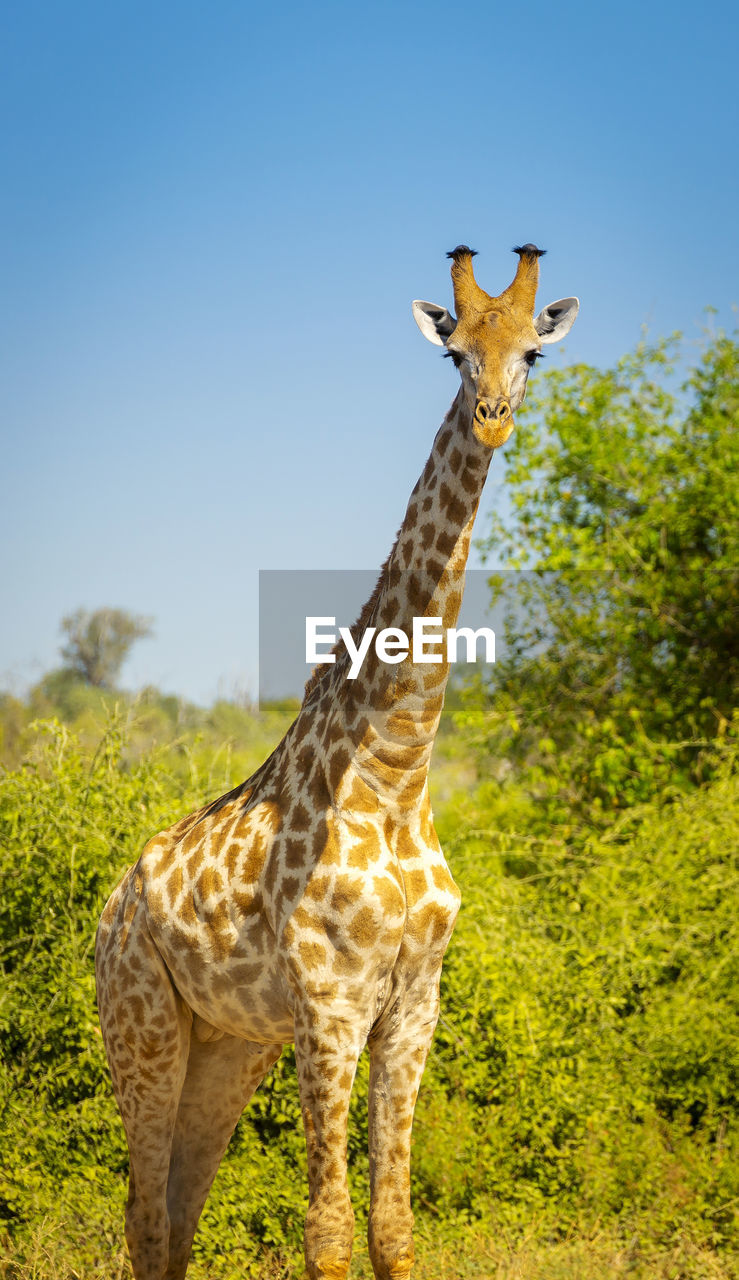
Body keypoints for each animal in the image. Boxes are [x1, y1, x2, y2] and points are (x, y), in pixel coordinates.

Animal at [94, 241, 576, 1280]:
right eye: (454, 354)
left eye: (531, 351)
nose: (493, 417)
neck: (396, 770)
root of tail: (111, 908)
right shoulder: (329, 1005)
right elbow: (326, 1234)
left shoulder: (413, 1005)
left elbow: (392, 1228)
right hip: (141, 1024)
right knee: (144, 1219)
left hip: (228, 1046)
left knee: (179, 1214)